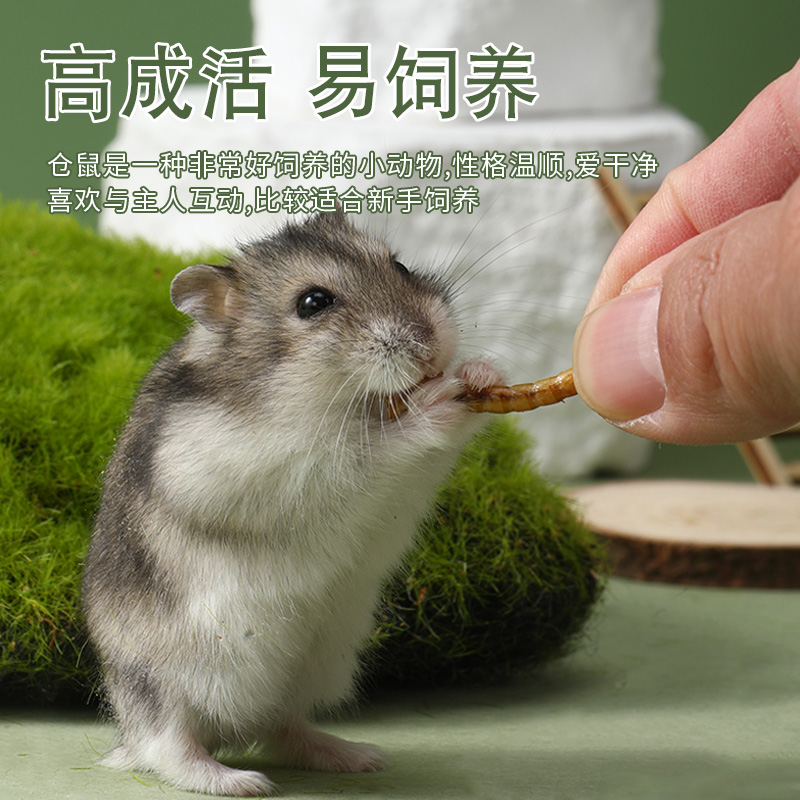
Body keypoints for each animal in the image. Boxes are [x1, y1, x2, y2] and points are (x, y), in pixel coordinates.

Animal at [82, 209, 504, 796]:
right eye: (313, 303)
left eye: (399, 265)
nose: (433, 348)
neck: (327, 395)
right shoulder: (258, 462)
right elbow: (366, 450)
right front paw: (437, 399)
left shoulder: (413, 482)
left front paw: (483, 374)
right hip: (171, 677)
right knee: (163, 745)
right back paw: (238, 781)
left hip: (315, 661)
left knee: (282, 729)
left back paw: (360, 756)